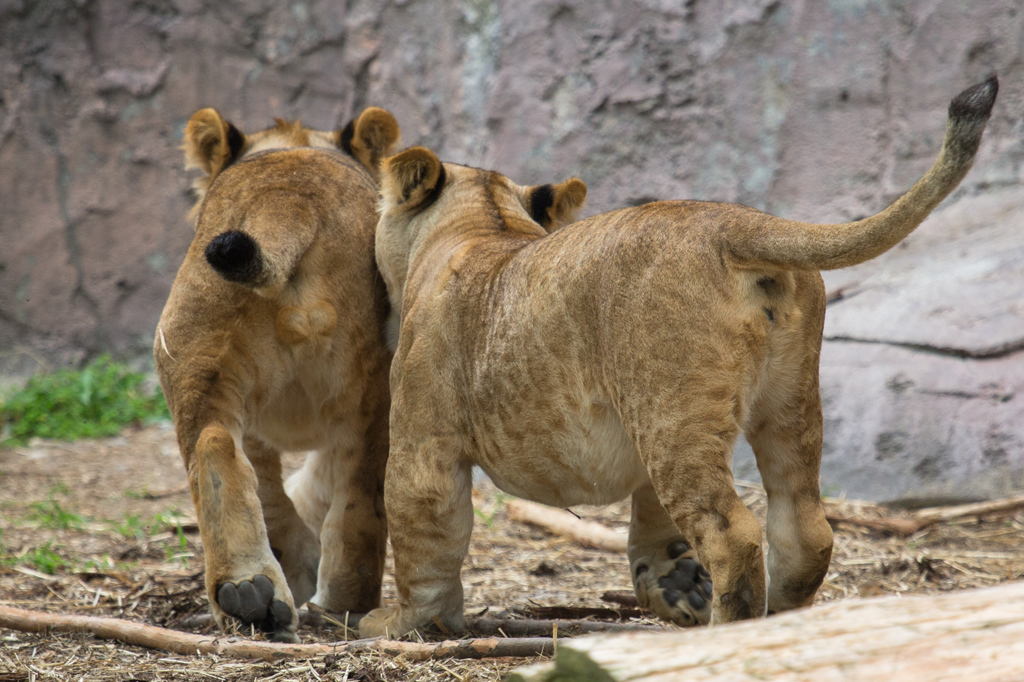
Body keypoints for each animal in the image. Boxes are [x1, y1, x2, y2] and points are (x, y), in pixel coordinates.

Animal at [155, 104, 399, 638]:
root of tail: (289, 198)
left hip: (191, 351)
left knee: (214, 443)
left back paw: (248, 593)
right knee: (359, 487)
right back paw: (340, 599)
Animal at [362, 76, 999, 634]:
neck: (479, 226)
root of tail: (737, 221)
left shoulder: (423, 441)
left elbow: (423, 531)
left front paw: (404, 623)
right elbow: (653, 520)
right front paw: (674, 588)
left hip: (671, 408)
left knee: (732, 532)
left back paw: (726, 629)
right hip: (786, 401)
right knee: (804, 526)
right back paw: (778, 617)